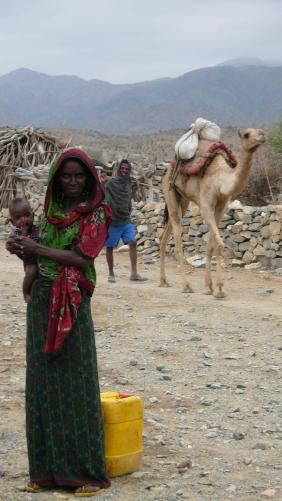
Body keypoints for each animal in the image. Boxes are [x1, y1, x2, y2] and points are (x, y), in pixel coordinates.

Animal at [160, 127, 266, 296]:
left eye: (258, 130)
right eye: (247, 134)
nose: (262, 135)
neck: (221, 179)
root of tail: (168, 168)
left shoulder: (221, 207)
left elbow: (210, 246)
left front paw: (209, 286)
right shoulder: (206, 206)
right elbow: (220, 244)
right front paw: (220, 289)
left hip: (183, 201)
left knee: (164, 235)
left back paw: (163, 281)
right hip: (169, 190)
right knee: (177, 243)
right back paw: (186, 286)